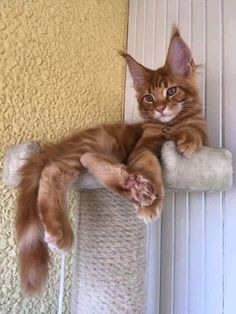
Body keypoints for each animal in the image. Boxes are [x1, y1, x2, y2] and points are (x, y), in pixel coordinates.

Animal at [16, 27, 206, 294]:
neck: (167, 128)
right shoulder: (141, 148)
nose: (160, 108)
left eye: (171, 91)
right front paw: (151, 205)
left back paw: (132, 185)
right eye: (149, 98)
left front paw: (188, 140)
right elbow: (150, 164)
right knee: (55, 170)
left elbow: (194, 130)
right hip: (99, 143)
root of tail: (61, 143)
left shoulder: (202, 133)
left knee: (85, 163)